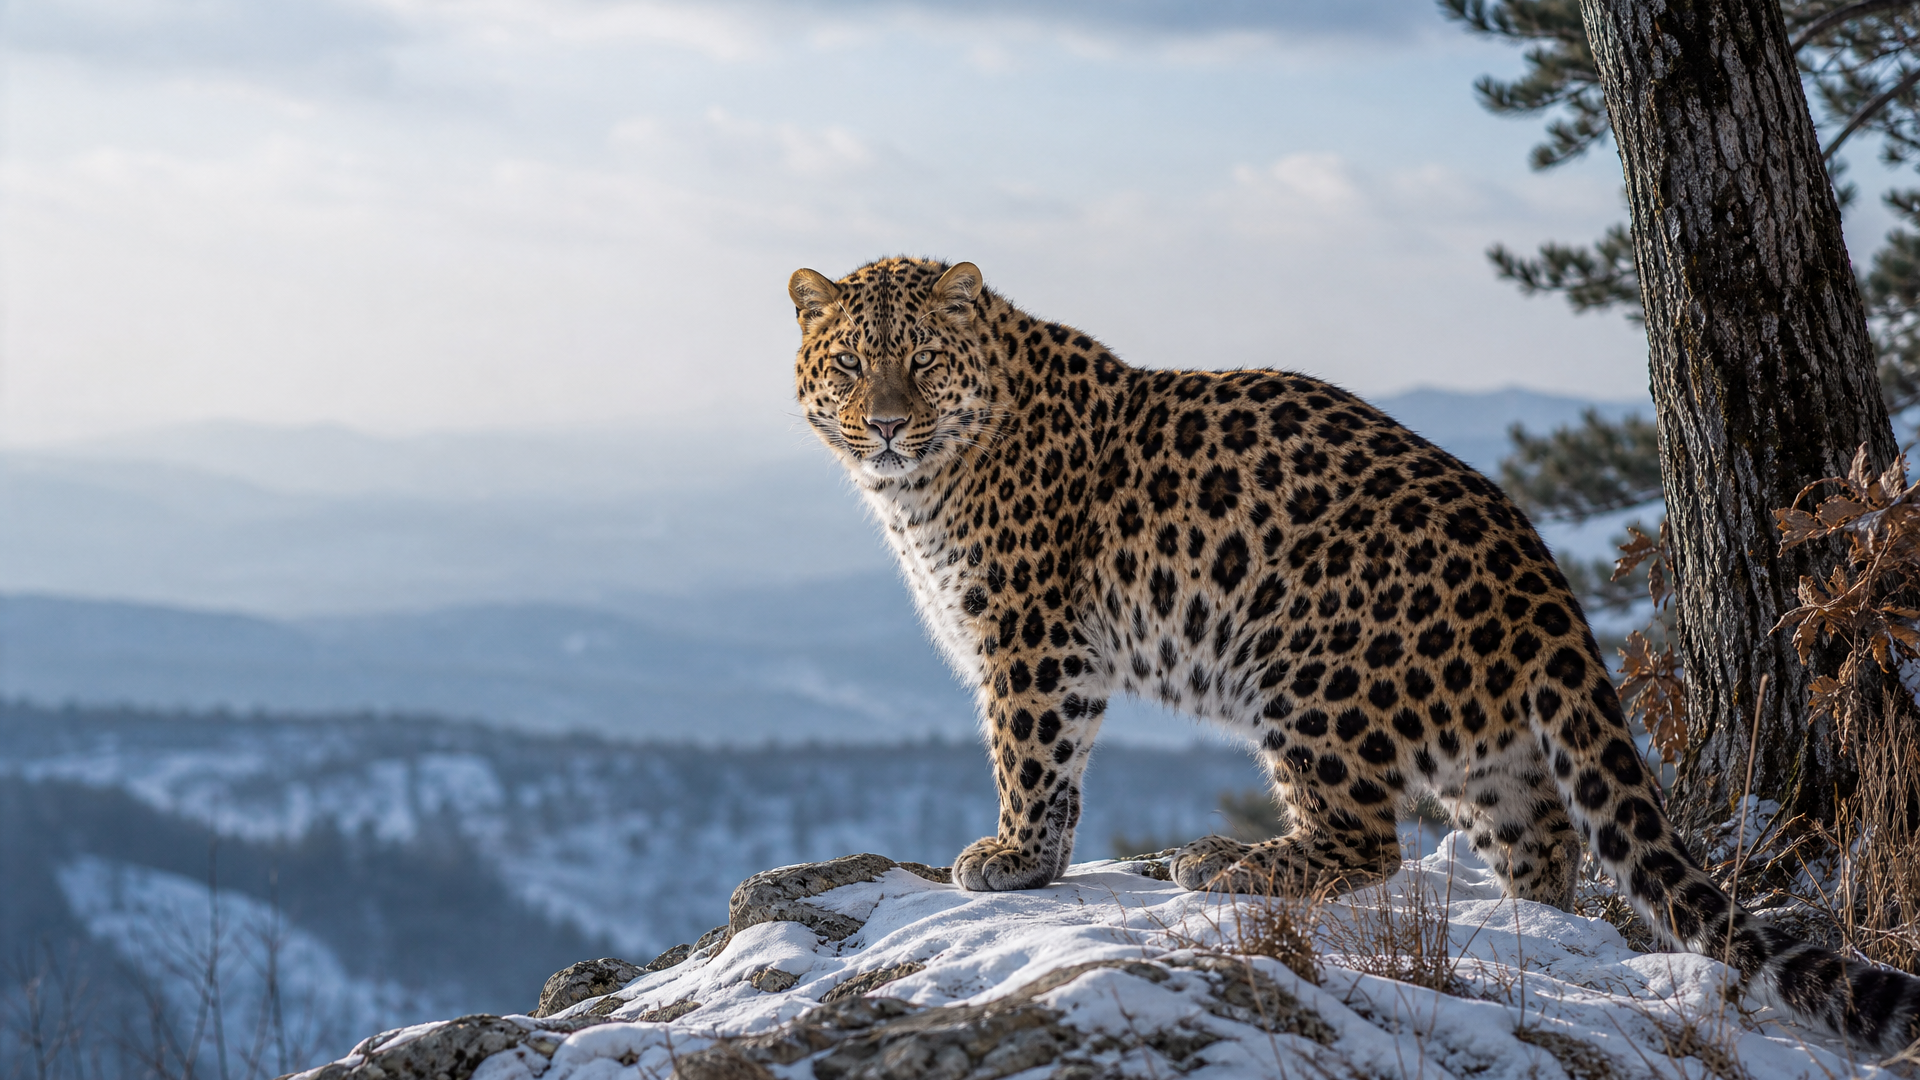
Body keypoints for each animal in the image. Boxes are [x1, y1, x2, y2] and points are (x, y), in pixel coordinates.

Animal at [786, 255, 1920, 1052]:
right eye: (849, 365)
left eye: (922, 362)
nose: (883, 424)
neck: (918, 485)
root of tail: (1542, 577)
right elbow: (1054, 769)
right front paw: (1041, 859)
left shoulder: (1031, 635)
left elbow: (1029, 752)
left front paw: (1011, 857)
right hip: (1481, 749)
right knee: (1544, 844)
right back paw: (1523, 912)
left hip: (1304, 667)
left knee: (1365, 842)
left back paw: (1226, 861)